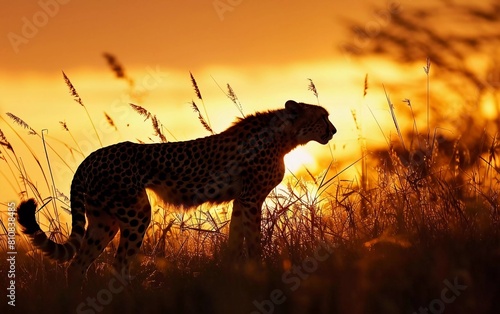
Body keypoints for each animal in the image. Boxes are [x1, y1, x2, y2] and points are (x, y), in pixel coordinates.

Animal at [16, 100, 336, 284]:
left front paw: (233, 272)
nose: (333, 130)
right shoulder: (251, 198)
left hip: (103, 220)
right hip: (136, 213)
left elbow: (235, 239)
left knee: (78, 265)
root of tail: (91, 157)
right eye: (322, 117)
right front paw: (260, 270)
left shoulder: (240, 199)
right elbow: (253, 239)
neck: (286, 136)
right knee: (118, 265)